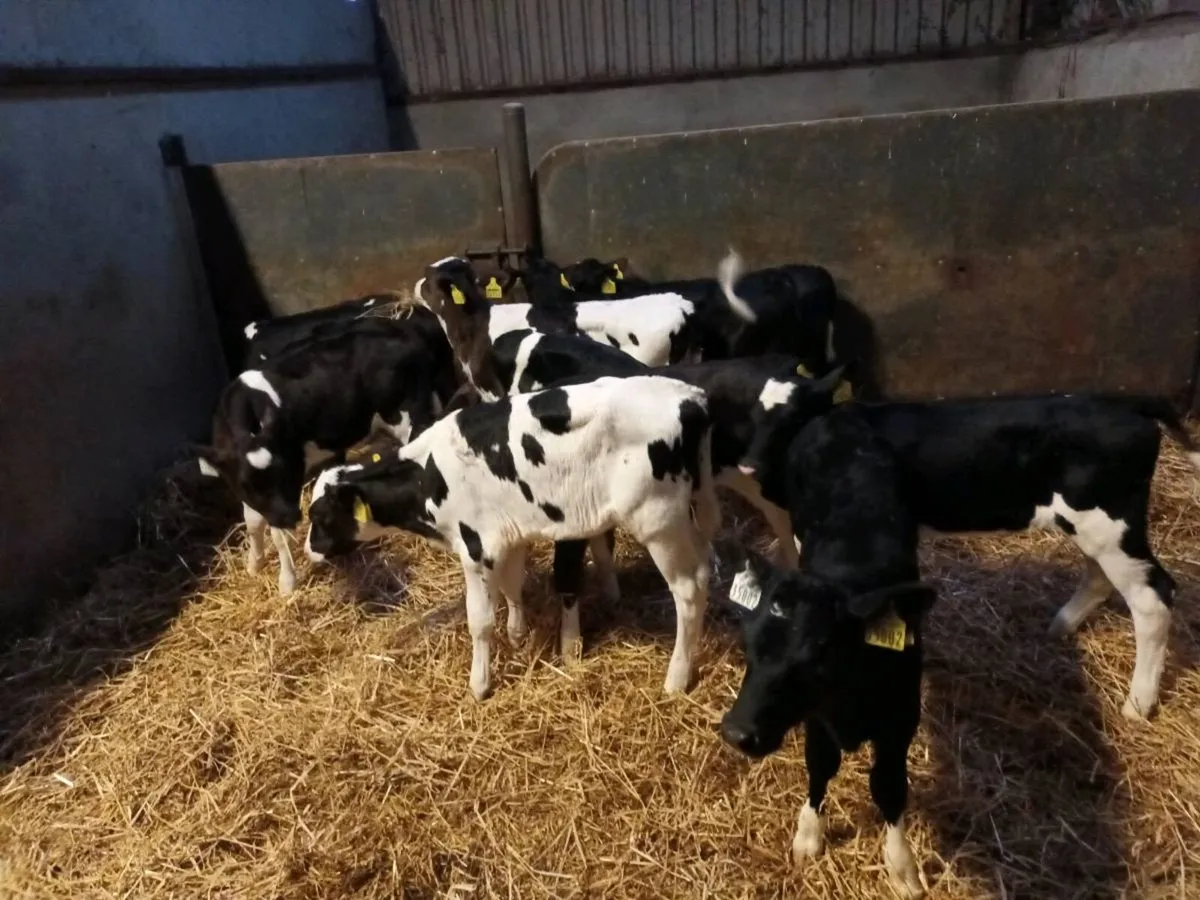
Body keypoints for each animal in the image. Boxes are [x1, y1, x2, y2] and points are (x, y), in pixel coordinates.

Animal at [195, 310, 458, 595]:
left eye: (286, 471)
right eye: (247, 483)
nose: (293, 516)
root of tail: (407, 329)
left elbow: (276, 533)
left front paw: (286, 581)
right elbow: (252, 519)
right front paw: (254, 563)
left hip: (408, 416)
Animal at [304, 375, 721, 700]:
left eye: (320, 516)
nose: (309, 548)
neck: (428, 473)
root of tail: (691, 398)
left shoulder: (475, 547)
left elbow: (480, 620)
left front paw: (479, 684)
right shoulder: (507, 535)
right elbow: (512, 586)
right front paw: (518, 635)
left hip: (659, 523)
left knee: (688, 589)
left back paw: (677, 678)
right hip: (689, 519)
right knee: (704, 569)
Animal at [721, 404, 935, 899]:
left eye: (817, 657)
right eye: (747, 645)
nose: (738, 733)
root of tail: (839, 416)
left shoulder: (898, 724)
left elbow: (889, 787)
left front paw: (902, 866)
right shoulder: (816, 719)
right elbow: (820, 765)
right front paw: (808, 835)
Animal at [740, 373, 1200, 720]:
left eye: (790, 416)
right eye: (754, 414)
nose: (748, 465)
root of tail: (1127, 404)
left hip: (1109, 523)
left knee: (1153, 598)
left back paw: (1138, 704)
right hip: (1094, 528)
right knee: (1100, 575)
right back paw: (1062, 625)